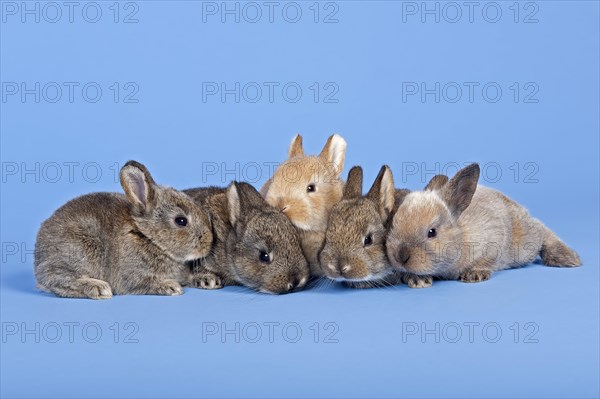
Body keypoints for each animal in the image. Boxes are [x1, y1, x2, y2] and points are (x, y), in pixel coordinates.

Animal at [33, 161, 213, 298]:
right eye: (181, 221)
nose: (209, 242)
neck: (148, 237)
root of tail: (38, 256)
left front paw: (207, 279)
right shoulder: (133, 277)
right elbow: (146, 283)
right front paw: (170, 286)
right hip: (79, 251)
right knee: (57, 278)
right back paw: (99, 288)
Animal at [384, 162, 580, 288]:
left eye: (432, 232)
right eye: (393, 225)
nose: (400, 257)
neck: (461, 237)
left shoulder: (493, 240)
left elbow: (487, 260)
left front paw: (474, 275)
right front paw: (416, 280)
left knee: (543, 231)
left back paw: (568, 258)